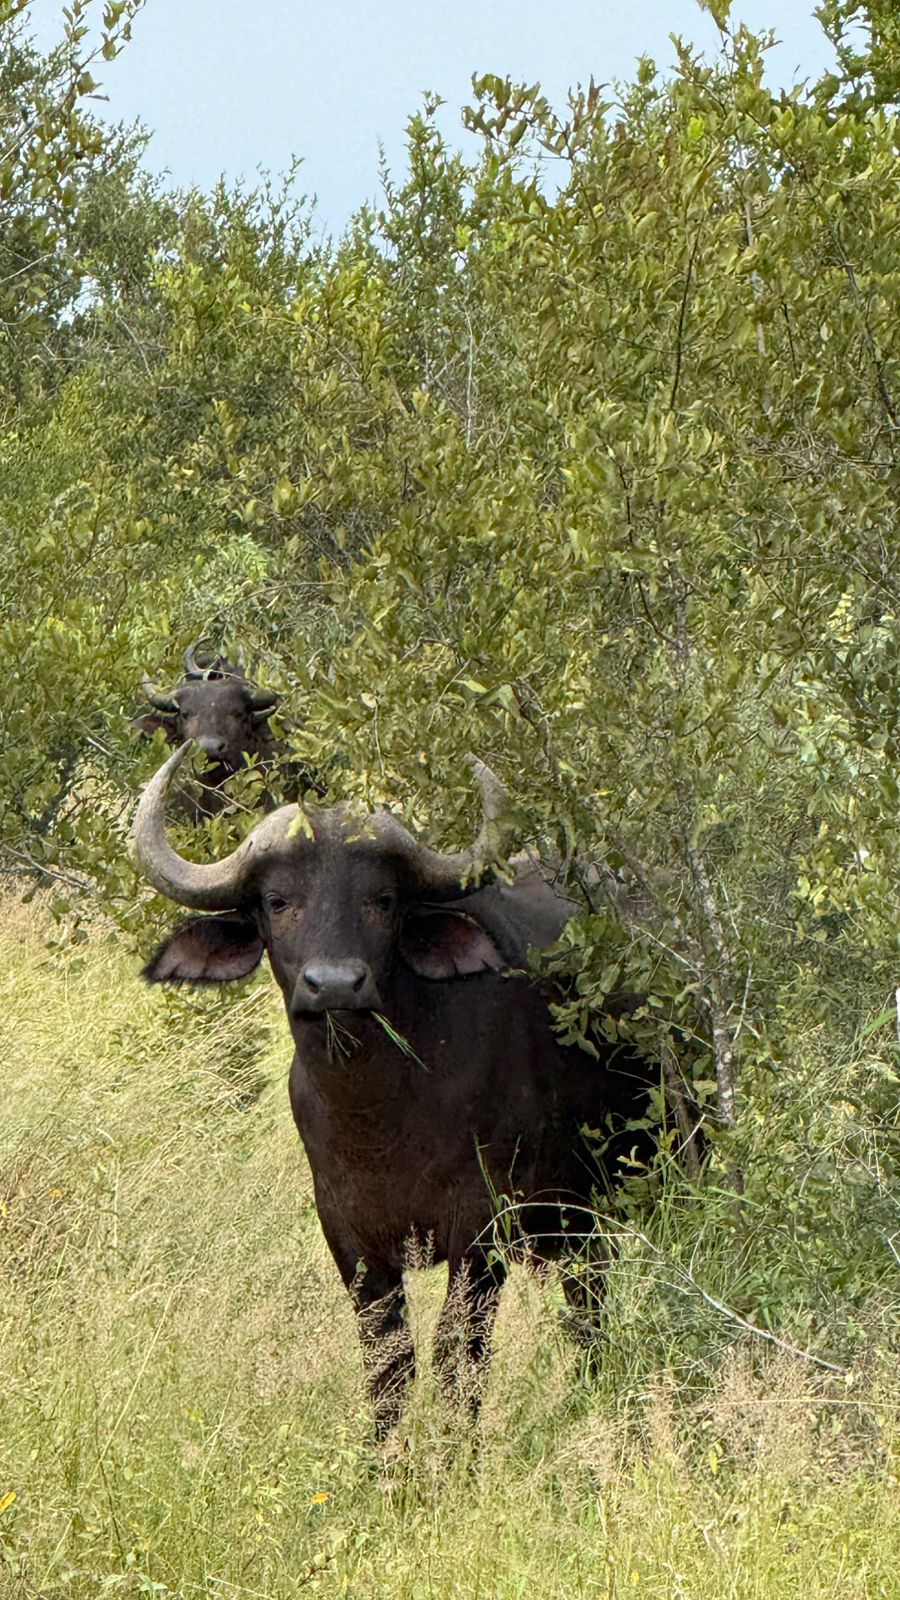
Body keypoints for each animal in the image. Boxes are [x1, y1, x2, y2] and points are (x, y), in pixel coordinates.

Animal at [131, 744, 671, 1433]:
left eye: (382, 899)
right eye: (278, 900)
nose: (334, 984)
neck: (380, 1111)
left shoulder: (482, 1227)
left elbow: (458, 1356)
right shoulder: (349, 1237)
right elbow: (388, 1363)